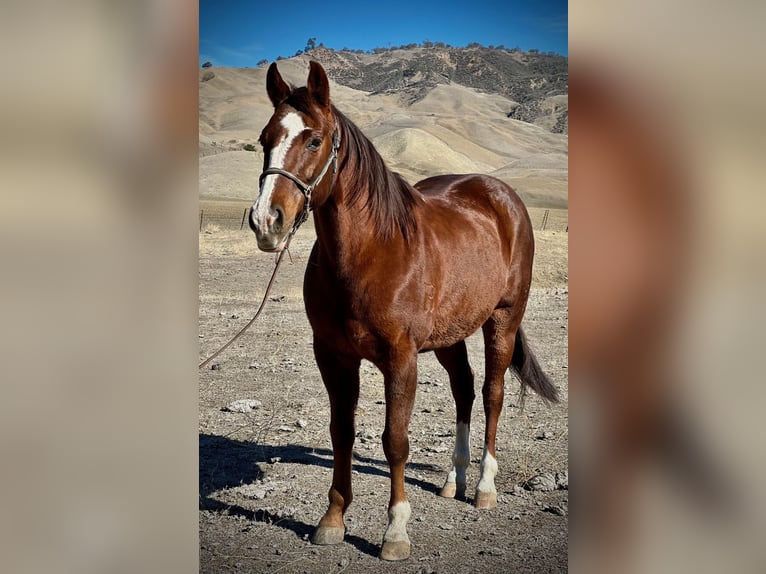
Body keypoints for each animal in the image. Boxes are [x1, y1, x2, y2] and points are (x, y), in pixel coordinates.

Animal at [250, 63, 560, 564]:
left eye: (314, 140)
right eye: (265, 139)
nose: (266, 221)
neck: (372, 251)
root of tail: (502, 195)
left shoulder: (401, 359)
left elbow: (395, 442)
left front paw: (395, 532)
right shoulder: (333, 357)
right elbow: (341, 433)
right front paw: (332, 520)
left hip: (502, 321)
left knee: (491, 395)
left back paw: (484, 487)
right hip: (451, 335)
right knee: (464, 390)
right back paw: (454, 480)